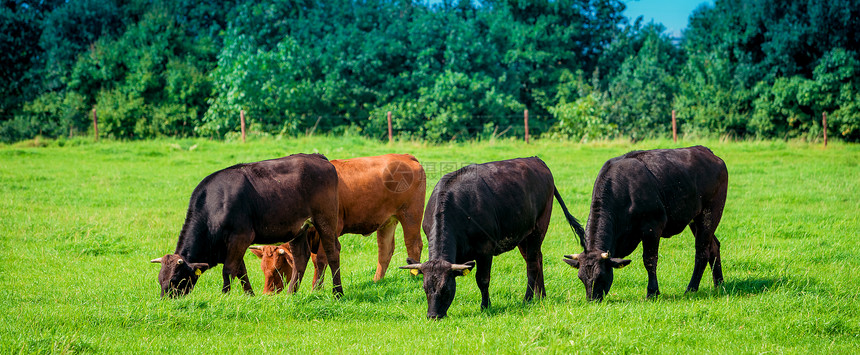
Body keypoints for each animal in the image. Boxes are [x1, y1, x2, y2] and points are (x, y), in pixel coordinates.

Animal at [149, 154, 340, 298]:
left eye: (175, 279)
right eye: (160, 280)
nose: (166, 301)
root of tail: (317, 157)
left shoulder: (240, 237)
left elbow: (228, 271)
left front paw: (224, 297)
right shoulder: (233, 245)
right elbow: (241, 271)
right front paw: (250, 295)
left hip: (326, 220)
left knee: (332, 253)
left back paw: (338, 293)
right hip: (298, 229)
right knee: (301, 257)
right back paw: (290, 294)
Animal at [249, 154, 426, 294]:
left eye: (277, 268)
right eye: (263, 268)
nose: (267, 294)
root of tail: (406, 156)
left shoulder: (329, 230)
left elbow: (321, 259)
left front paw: (316, 289)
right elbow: (315, 261)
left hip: (411, 215)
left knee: (413, 244)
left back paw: (413, 276)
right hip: (387, 221)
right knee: (385, 251)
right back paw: (377, 281)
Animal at [400, 159, 588, 320]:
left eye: (446, 288)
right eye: (425, 288)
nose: (433, 316)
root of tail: (536, 160)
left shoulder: (485, 250)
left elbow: (482, 280)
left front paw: (485, 306)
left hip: (538, 228)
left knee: (532, 265)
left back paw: (528, 298)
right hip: (524, 235)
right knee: (537, 259)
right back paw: (541, 295)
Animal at [564, 146, 732, 302]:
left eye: (600, 275)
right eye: (580, 277)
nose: (592, 300)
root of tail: (706, 151)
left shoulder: (652, 227)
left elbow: (649, 260)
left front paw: (652, 292)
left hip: (710, 213)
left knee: (702, 252)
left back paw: (691, 289)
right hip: (694, 219)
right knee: (713, 246)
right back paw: (719, 284)